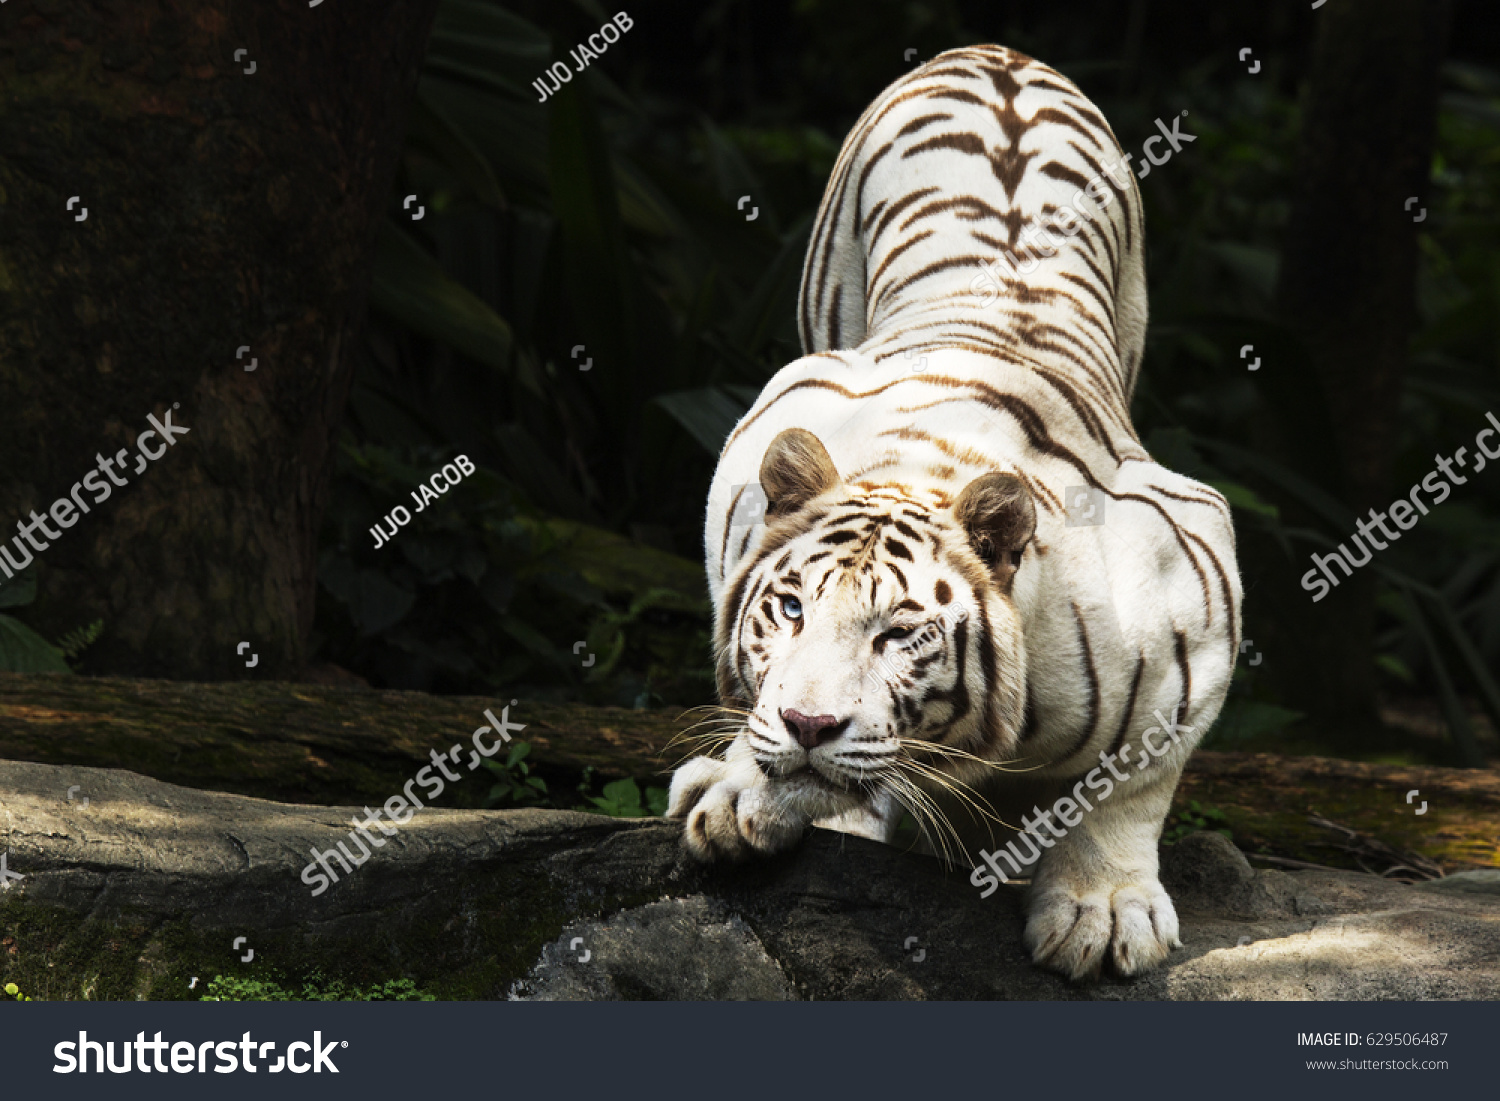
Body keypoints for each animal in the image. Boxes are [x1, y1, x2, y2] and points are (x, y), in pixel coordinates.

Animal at [666, 44, 1241, 981]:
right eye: (789, 608)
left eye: (900, 634)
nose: (810, 724)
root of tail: (998, 53)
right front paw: (743, 785)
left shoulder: (1196, 582)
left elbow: (1132, 775)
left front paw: (1103, 907)